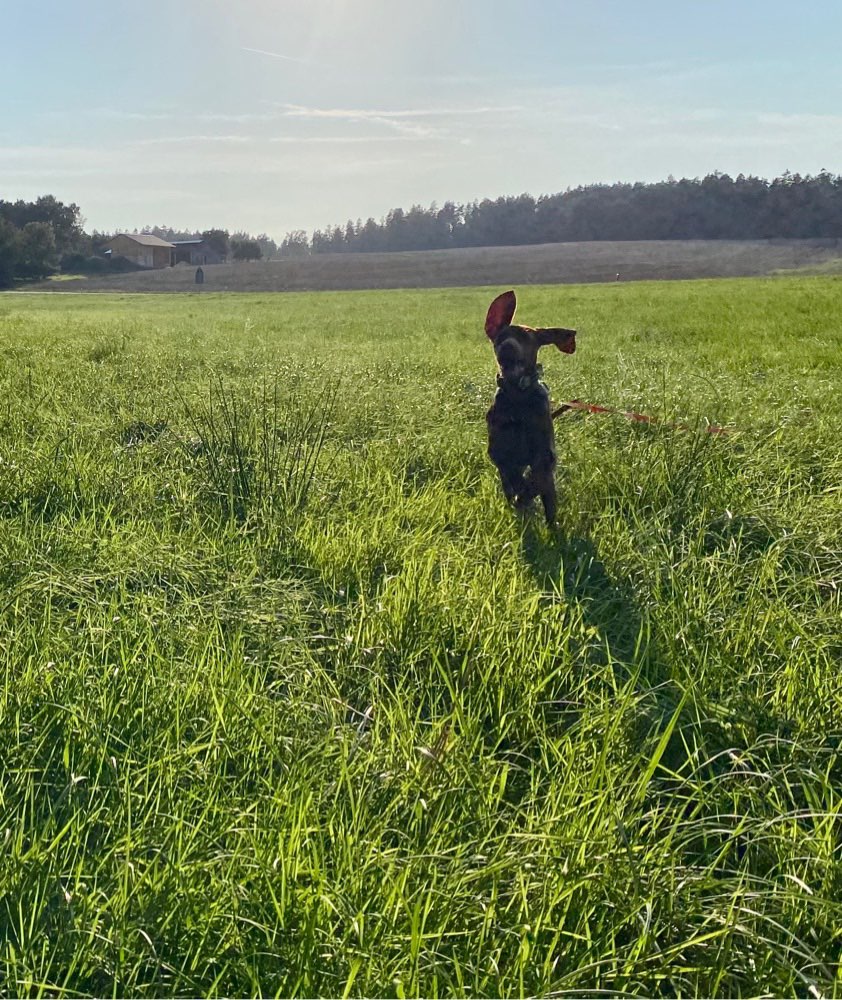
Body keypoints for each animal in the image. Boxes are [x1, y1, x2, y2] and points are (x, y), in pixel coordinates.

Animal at [482, 288, 576, 524]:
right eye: (500, 338)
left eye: (526, 338)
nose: (507, 347)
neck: (518, 397)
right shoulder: (500, 453)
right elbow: (513, 477)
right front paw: (521, 497)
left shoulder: (544, 455)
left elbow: (537, 480)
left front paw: (526, 495)